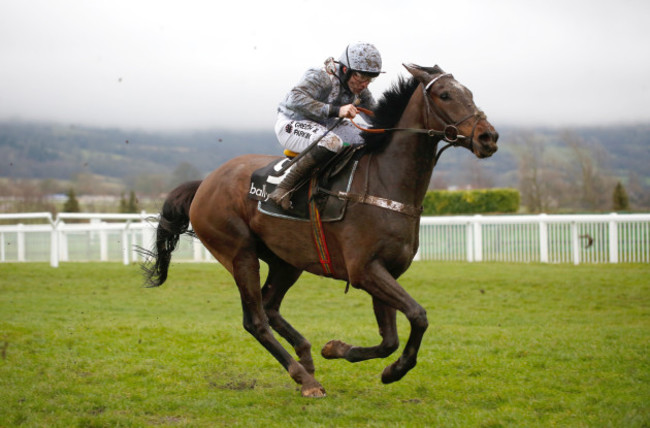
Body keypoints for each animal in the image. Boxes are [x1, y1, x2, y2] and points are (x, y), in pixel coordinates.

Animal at [140, 63, 496, 398]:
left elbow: (390, 339)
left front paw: (337, 349)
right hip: (239, 254)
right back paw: (305, 379)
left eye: (470, 93)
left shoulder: (385, 270)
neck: (384, 183)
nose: (488, 137)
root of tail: (205, 183)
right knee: (255, 319)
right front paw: (394, 370)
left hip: (286, 261)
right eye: (445, 95)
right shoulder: (364, 270)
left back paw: (307, 357)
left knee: (270, 307)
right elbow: (418, 315)